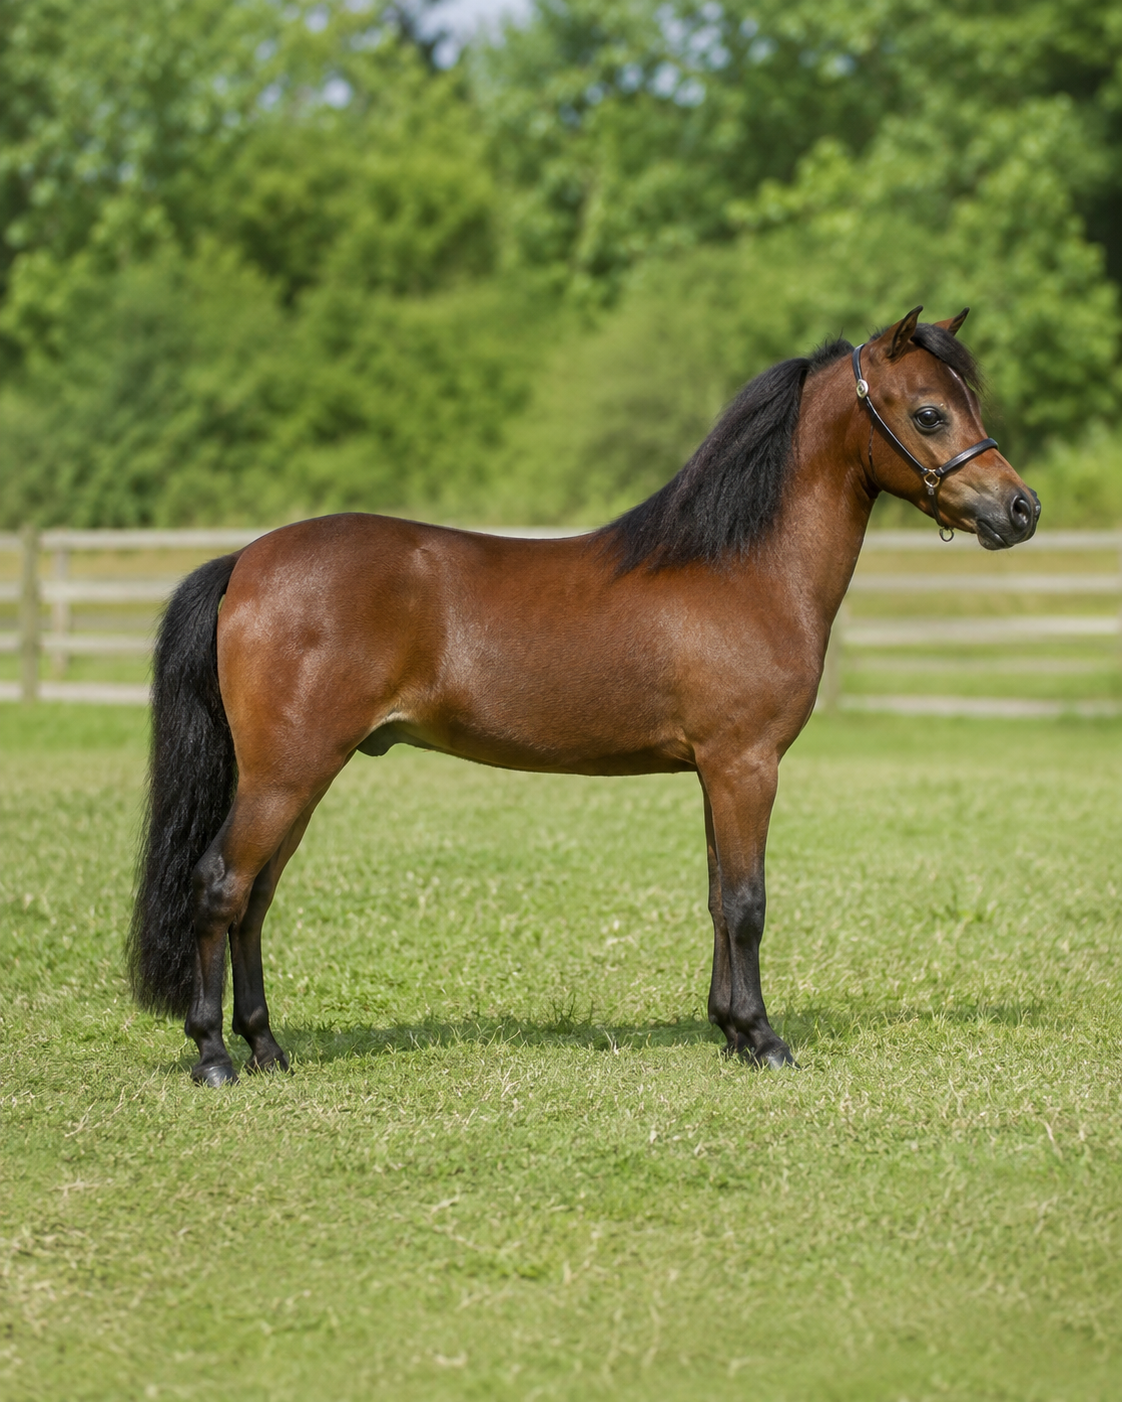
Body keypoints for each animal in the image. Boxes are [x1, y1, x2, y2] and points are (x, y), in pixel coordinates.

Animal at [128, 307, 1039, 1086]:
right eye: (930, 414)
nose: (1021, 509)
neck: (745, 568)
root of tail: (245, 562)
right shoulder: (747, 766)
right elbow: (748, 902)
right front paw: (766, 1040)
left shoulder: (715, 772)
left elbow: (717, 898)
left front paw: (731, 1031)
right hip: (287, 773)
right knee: (220, 886)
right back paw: (214, 1056)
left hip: (300, 775)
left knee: (254, 900)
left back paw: (268, 1049)